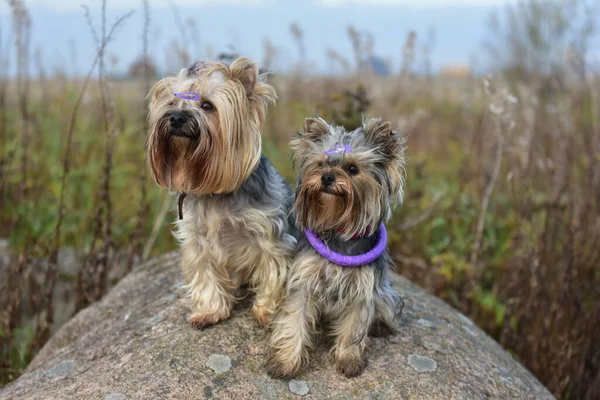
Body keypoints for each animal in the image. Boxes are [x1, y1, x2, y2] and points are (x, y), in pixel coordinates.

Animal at [145, 58, 296, 328]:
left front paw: (266, 312)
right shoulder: (197, 240)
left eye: (207, 106)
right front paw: (209, 311)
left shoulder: (270, 235)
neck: (213, 193)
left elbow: (272, 271)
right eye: (171, 103)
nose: (176, 118)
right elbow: (205, 274)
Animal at [268, 116, 406, 378]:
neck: (339, 225)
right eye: (321, 164)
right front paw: (286, 362)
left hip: (383, 293)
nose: (327, 177)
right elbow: (294, 320)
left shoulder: (362, 289)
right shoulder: (304, 280)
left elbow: (353, 326)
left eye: (352, 169)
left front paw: (348, 360)